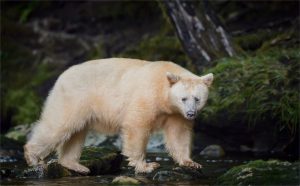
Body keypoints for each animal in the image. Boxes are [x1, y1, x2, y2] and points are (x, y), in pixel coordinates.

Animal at [24, 57, 214, 173]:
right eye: (183, 98)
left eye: (197, 99)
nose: (191, 113)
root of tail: (61, 76)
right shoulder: (146, 96)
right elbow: (137, 126)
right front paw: (146, 165)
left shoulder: (176, 114)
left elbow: (178, 134)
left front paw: (191, 162)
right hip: (73, 97)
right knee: (59, 125)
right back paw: (33, 158)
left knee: (76, 132)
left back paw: (76, 165)